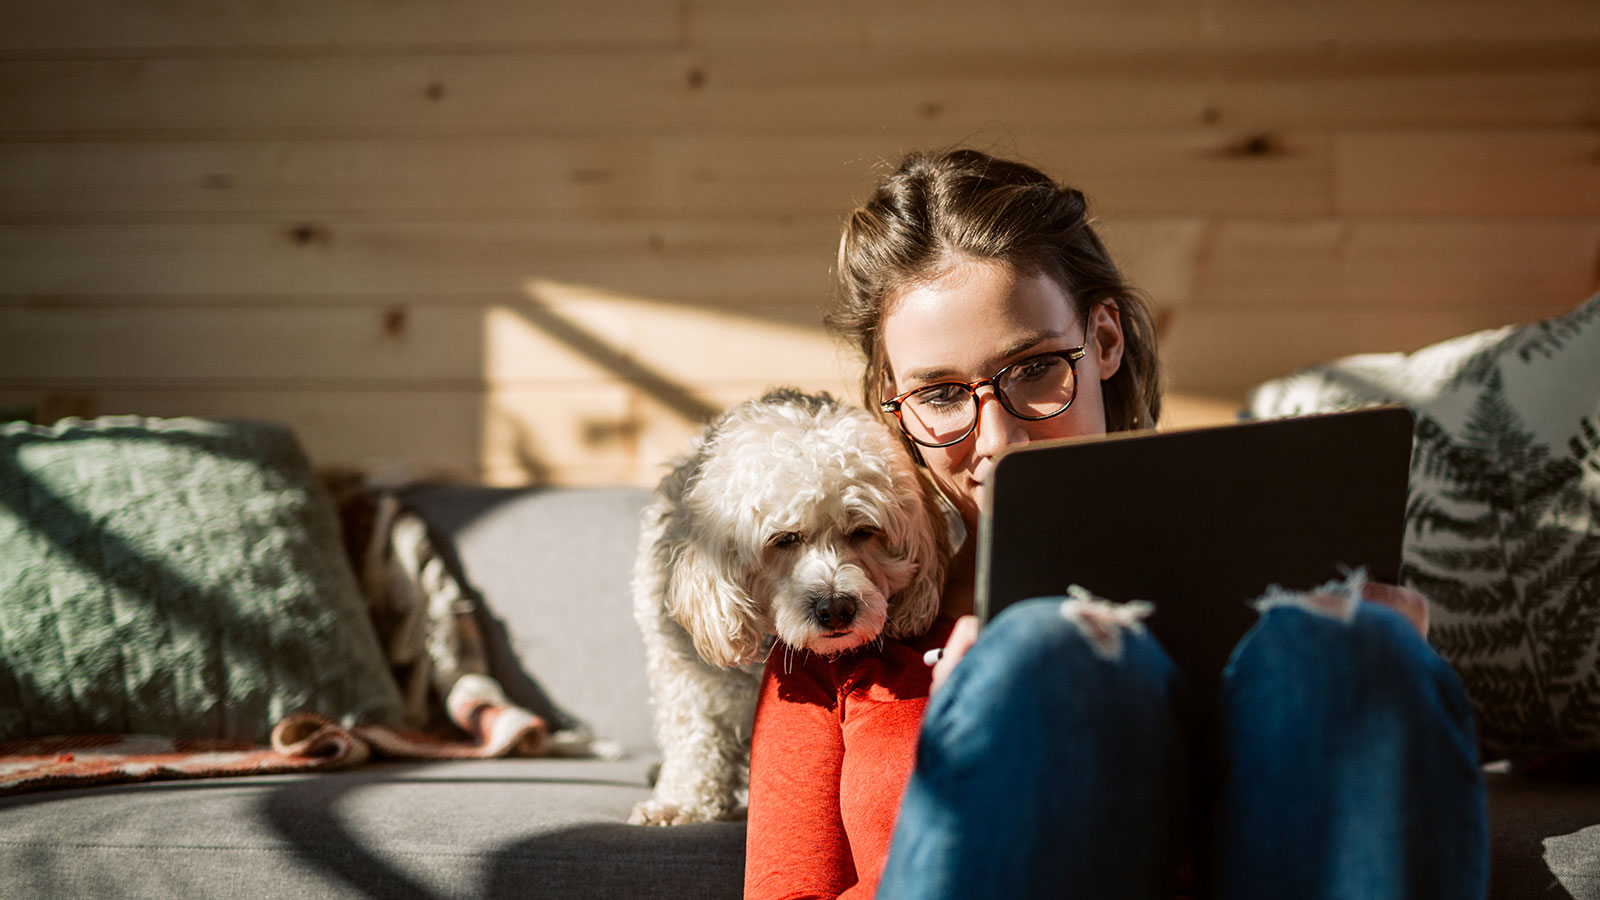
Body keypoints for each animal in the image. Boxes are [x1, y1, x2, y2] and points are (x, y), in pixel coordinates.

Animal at [624, 389, 947, 826]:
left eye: (863, 531)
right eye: (785, 539)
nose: (836, 608)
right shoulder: (683, 673)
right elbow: (694, 736)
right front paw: (681, 803)